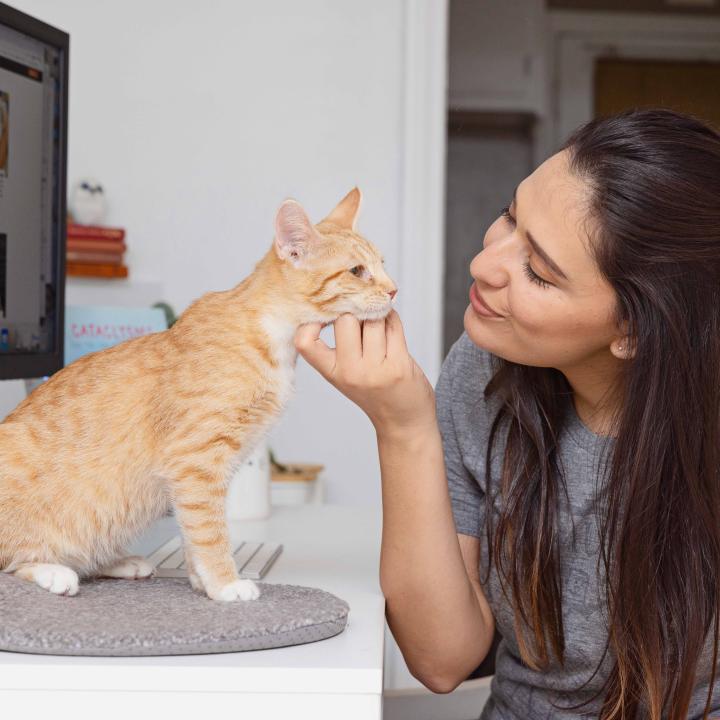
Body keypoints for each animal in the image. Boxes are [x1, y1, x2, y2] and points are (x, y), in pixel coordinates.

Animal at [0, 187, 394, 600]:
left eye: (382, 264)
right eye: (357, 271)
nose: (393, 290)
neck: (274, 337)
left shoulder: (207, 469)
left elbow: (192, 532)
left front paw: (201, 580)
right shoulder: (196, 461)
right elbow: (210, 532)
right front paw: (225, 584)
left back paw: (121, 562)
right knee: (15, 559)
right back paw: (54, 571)